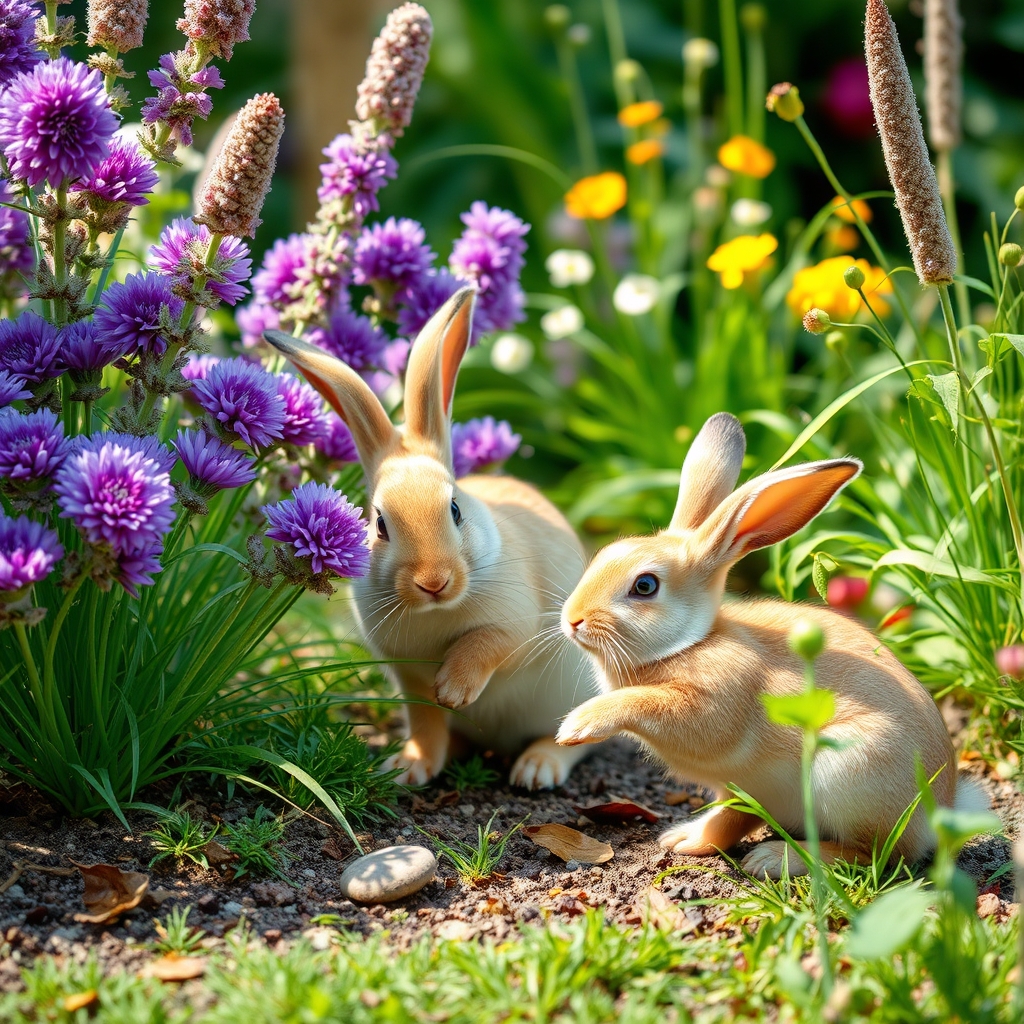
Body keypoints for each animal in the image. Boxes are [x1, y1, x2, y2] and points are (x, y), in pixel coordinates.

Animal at [264, 287, 596, 790]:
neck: (438, 611)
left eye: (455, 509)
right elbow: (426, 719)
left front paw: (455, 690)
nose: (433, 581)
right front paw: (409, 768)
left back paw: (537, 768)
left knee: (578, 738)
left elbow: (488, 643)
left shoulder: (516, 623)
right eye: (380, 524)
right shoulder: (406, 675)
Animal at [554, 412, 983, 879]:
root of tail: (938, 811)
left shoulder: (714, 705)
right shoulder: (739, 787)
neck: (691, 642)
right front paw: (683, 841)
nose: (572, 619)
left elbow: (650, 706)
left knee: (877, 853)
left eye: (645, 586)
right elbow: (731, 816)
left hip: (847, 771)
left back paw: (776, 859)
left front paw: (577, 726)